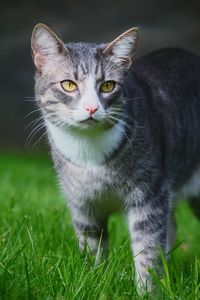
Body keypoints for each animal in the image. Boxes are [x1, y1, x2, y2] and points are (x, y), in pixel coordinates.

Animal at [30, 22, 200, 292]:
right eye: (69, 85)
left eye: (108, 86)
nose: (91, 108)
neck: (90, 155)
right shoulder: (82, 204)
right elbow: (92, 246)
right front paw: (94, 279)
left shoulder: (149, 195)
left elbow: (147, 248)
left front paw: (147, 290)